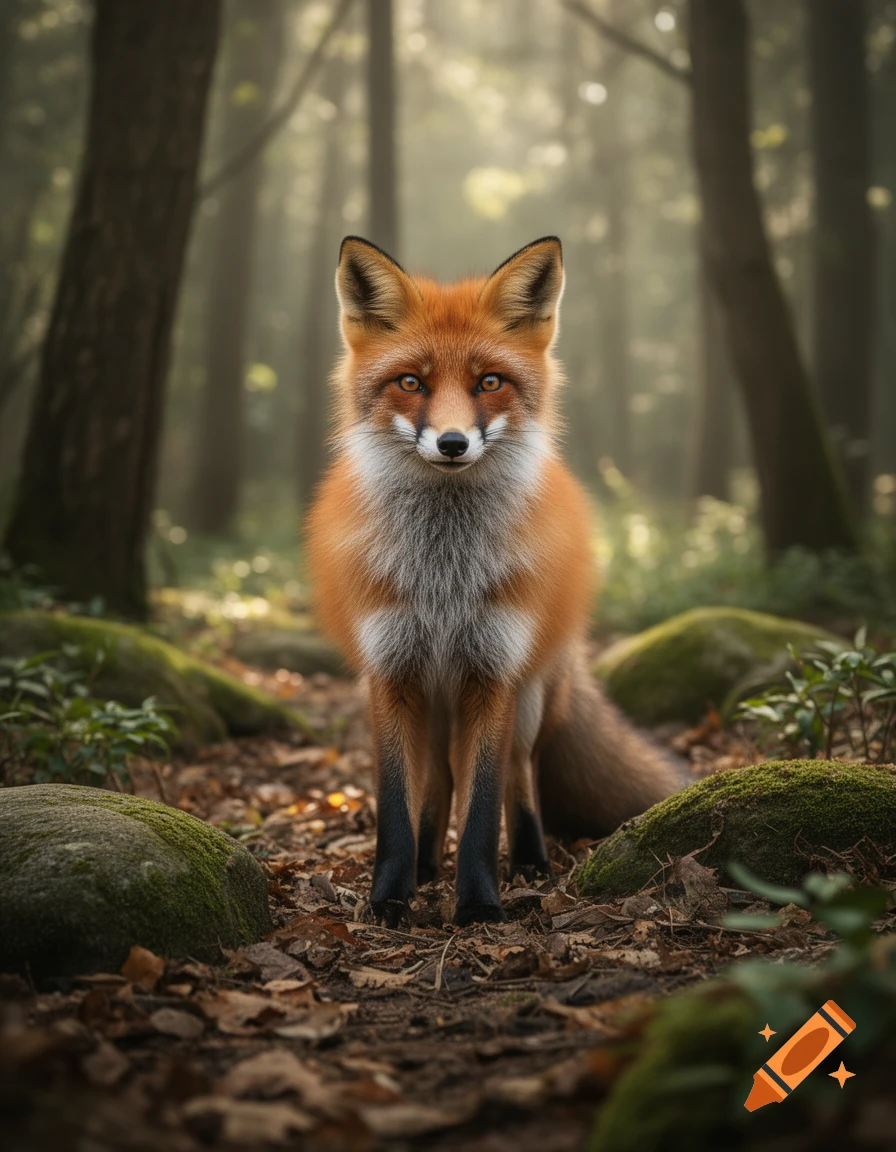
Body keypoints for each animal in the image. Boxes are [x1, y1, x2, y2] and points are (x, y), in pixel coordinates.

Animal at [306, 235, 683, 928]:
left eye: (489, 382)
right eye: (411, 382)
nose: (453, 443)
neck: (444, 580)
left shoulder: (494, 671)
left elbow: (483, 807)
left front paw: (480, 904)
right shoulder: (390, 673)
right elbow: (397, 805)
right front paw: (391, 896)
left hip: (530, 695)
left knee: (519, 774)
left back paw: (530, 862)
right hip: (435, 701)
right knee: (439, 781)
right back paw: (428, 864)